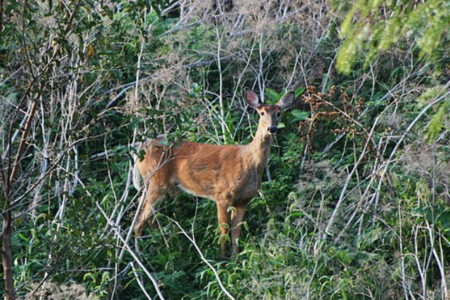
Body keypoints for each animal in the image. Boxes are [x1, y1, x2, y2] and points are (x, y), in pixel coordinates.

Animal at [132, 89, 298, 258]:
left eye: (278, 113)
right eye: (262, 112)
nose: (272, 128)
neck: (248, 162)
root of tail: (140, 150)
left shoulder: (243, 200)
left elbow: (236, 233)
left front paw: (235, 258)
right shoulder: (222, 195)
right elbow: (224, 230)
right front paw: (222, 258)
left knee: (145, 209)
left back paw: (160, 243)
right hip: (156, 181)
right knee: (140, 218)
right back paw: (140, 252)